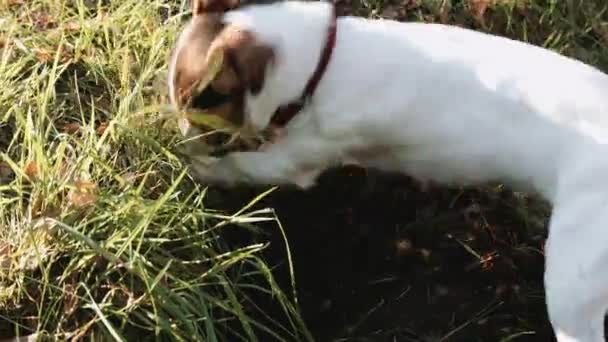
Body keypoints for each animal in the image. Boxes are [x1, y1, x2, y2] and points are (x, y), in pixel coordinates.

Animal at [167, 1, 608, 340]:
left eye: (202, 100)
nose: (177, 134)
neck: (323, 64)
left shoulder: (298, 158)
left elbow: (238, 165)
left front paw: (189, 164)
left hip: (572, 281)